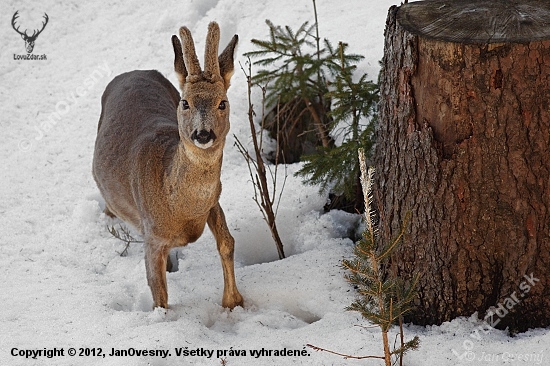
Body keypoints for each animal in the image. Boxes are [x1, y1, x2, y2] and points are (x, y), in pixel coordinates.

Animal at [92, 22, 244, 308]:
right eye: (186, 102)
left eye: (223, 103)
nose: (203, 134)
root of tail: (133, 72)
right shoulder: (152, 235)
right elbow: (158, 290)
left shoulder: (214, 200)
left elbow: (227, 243)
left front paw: (233, 302)